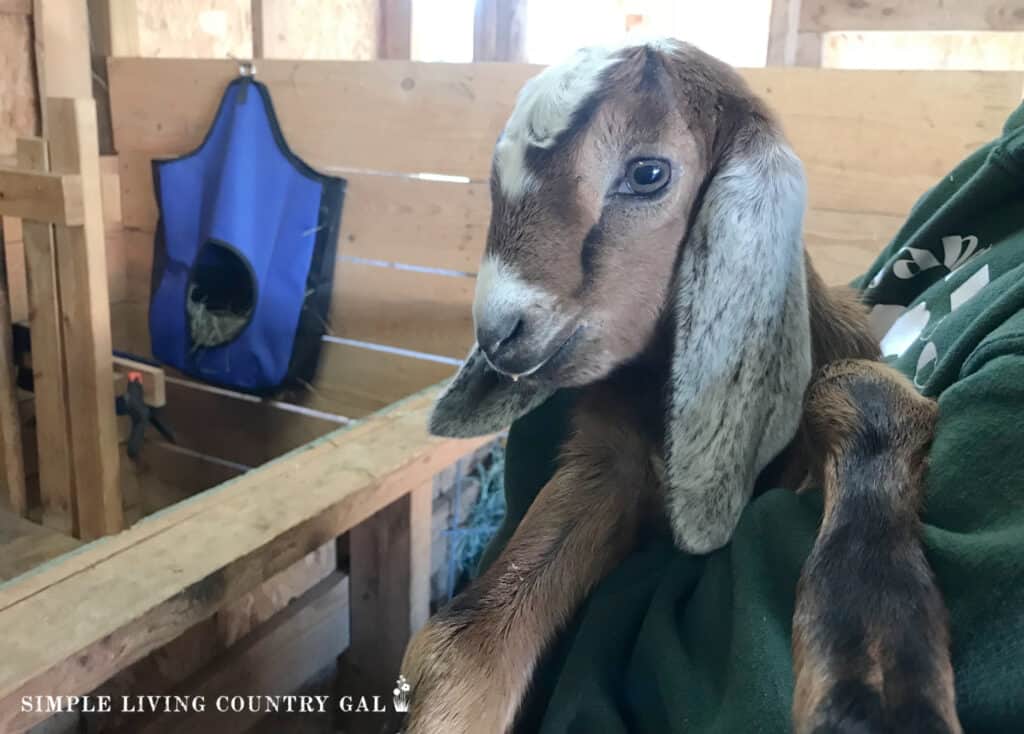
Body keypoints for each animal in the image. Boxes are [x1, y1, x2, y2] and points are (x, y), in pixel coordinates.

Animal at [397, 41, 958, 732]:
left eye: (648, 174)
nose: (499, 331)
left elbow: (862, 394)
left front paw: (876, 698)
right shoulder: (610, 461)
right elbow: (461, 643)